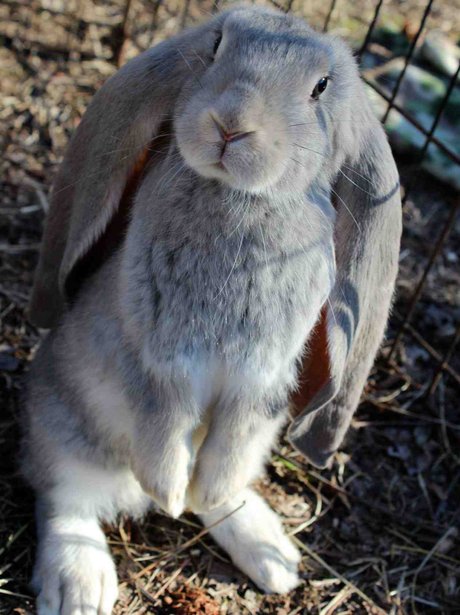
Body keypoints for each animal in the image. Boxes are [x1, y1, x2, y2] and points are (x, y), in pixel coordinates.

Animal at [21, 6, 400, 615]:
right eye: (216, 45)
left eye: (321, 87)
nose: (231, 123)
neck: (237, 199)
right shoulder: (161, 360)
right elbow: (164, 416)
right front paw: (170, 491)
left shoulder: (262, 378)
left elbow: (230, 438)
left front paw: (195, 492)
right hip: (63, 423)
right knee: (63, 497)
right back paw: (81, 586)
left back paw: (273, 557)